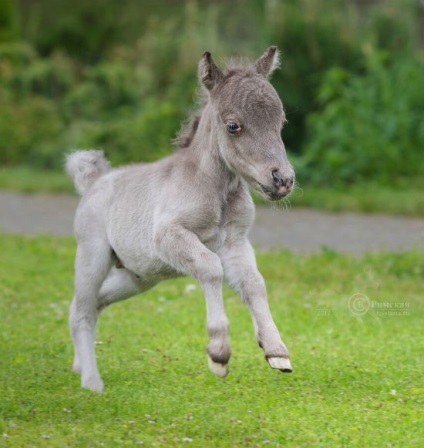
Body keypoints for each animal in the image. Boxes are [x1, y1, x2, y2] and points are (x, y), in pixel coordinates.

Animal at [67, 44, 294, 388]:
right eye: (233, 125)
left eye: (281, 122)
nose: (282, 179)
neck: (216, 192)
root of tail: (94, 180)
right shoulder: (170, 236)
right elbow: (210, 269)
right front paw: (218, 352)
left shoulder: (235, 243)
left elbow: (254, 283)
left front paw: (276, 350)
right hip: (93, 255)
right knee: (83, 310)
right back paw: (92, 383)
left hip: (137, 276)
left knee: (91, 305)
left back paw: (79, 367)